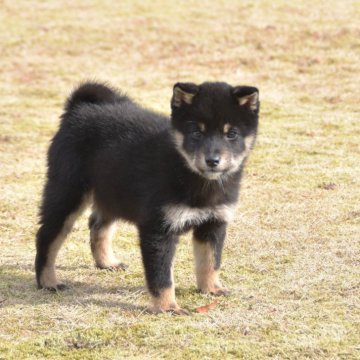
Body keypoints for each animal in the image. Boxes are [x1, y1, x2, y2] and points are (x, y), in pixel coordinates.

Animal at [35, 80, 258, 314]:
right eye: (196, 132)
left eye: (231, 134)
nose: (212, 160)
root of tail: (79, 109)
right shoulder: (158, 229)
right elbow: (162, 276)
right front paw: (168, 307)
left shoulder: (214, 224)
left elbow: (210, 262)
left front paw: (211, 288)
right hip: (68, 192)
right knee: (47, 236)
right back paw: (48, 282)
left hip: (113, 190)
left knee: (97, 225)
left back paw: (107, 262)